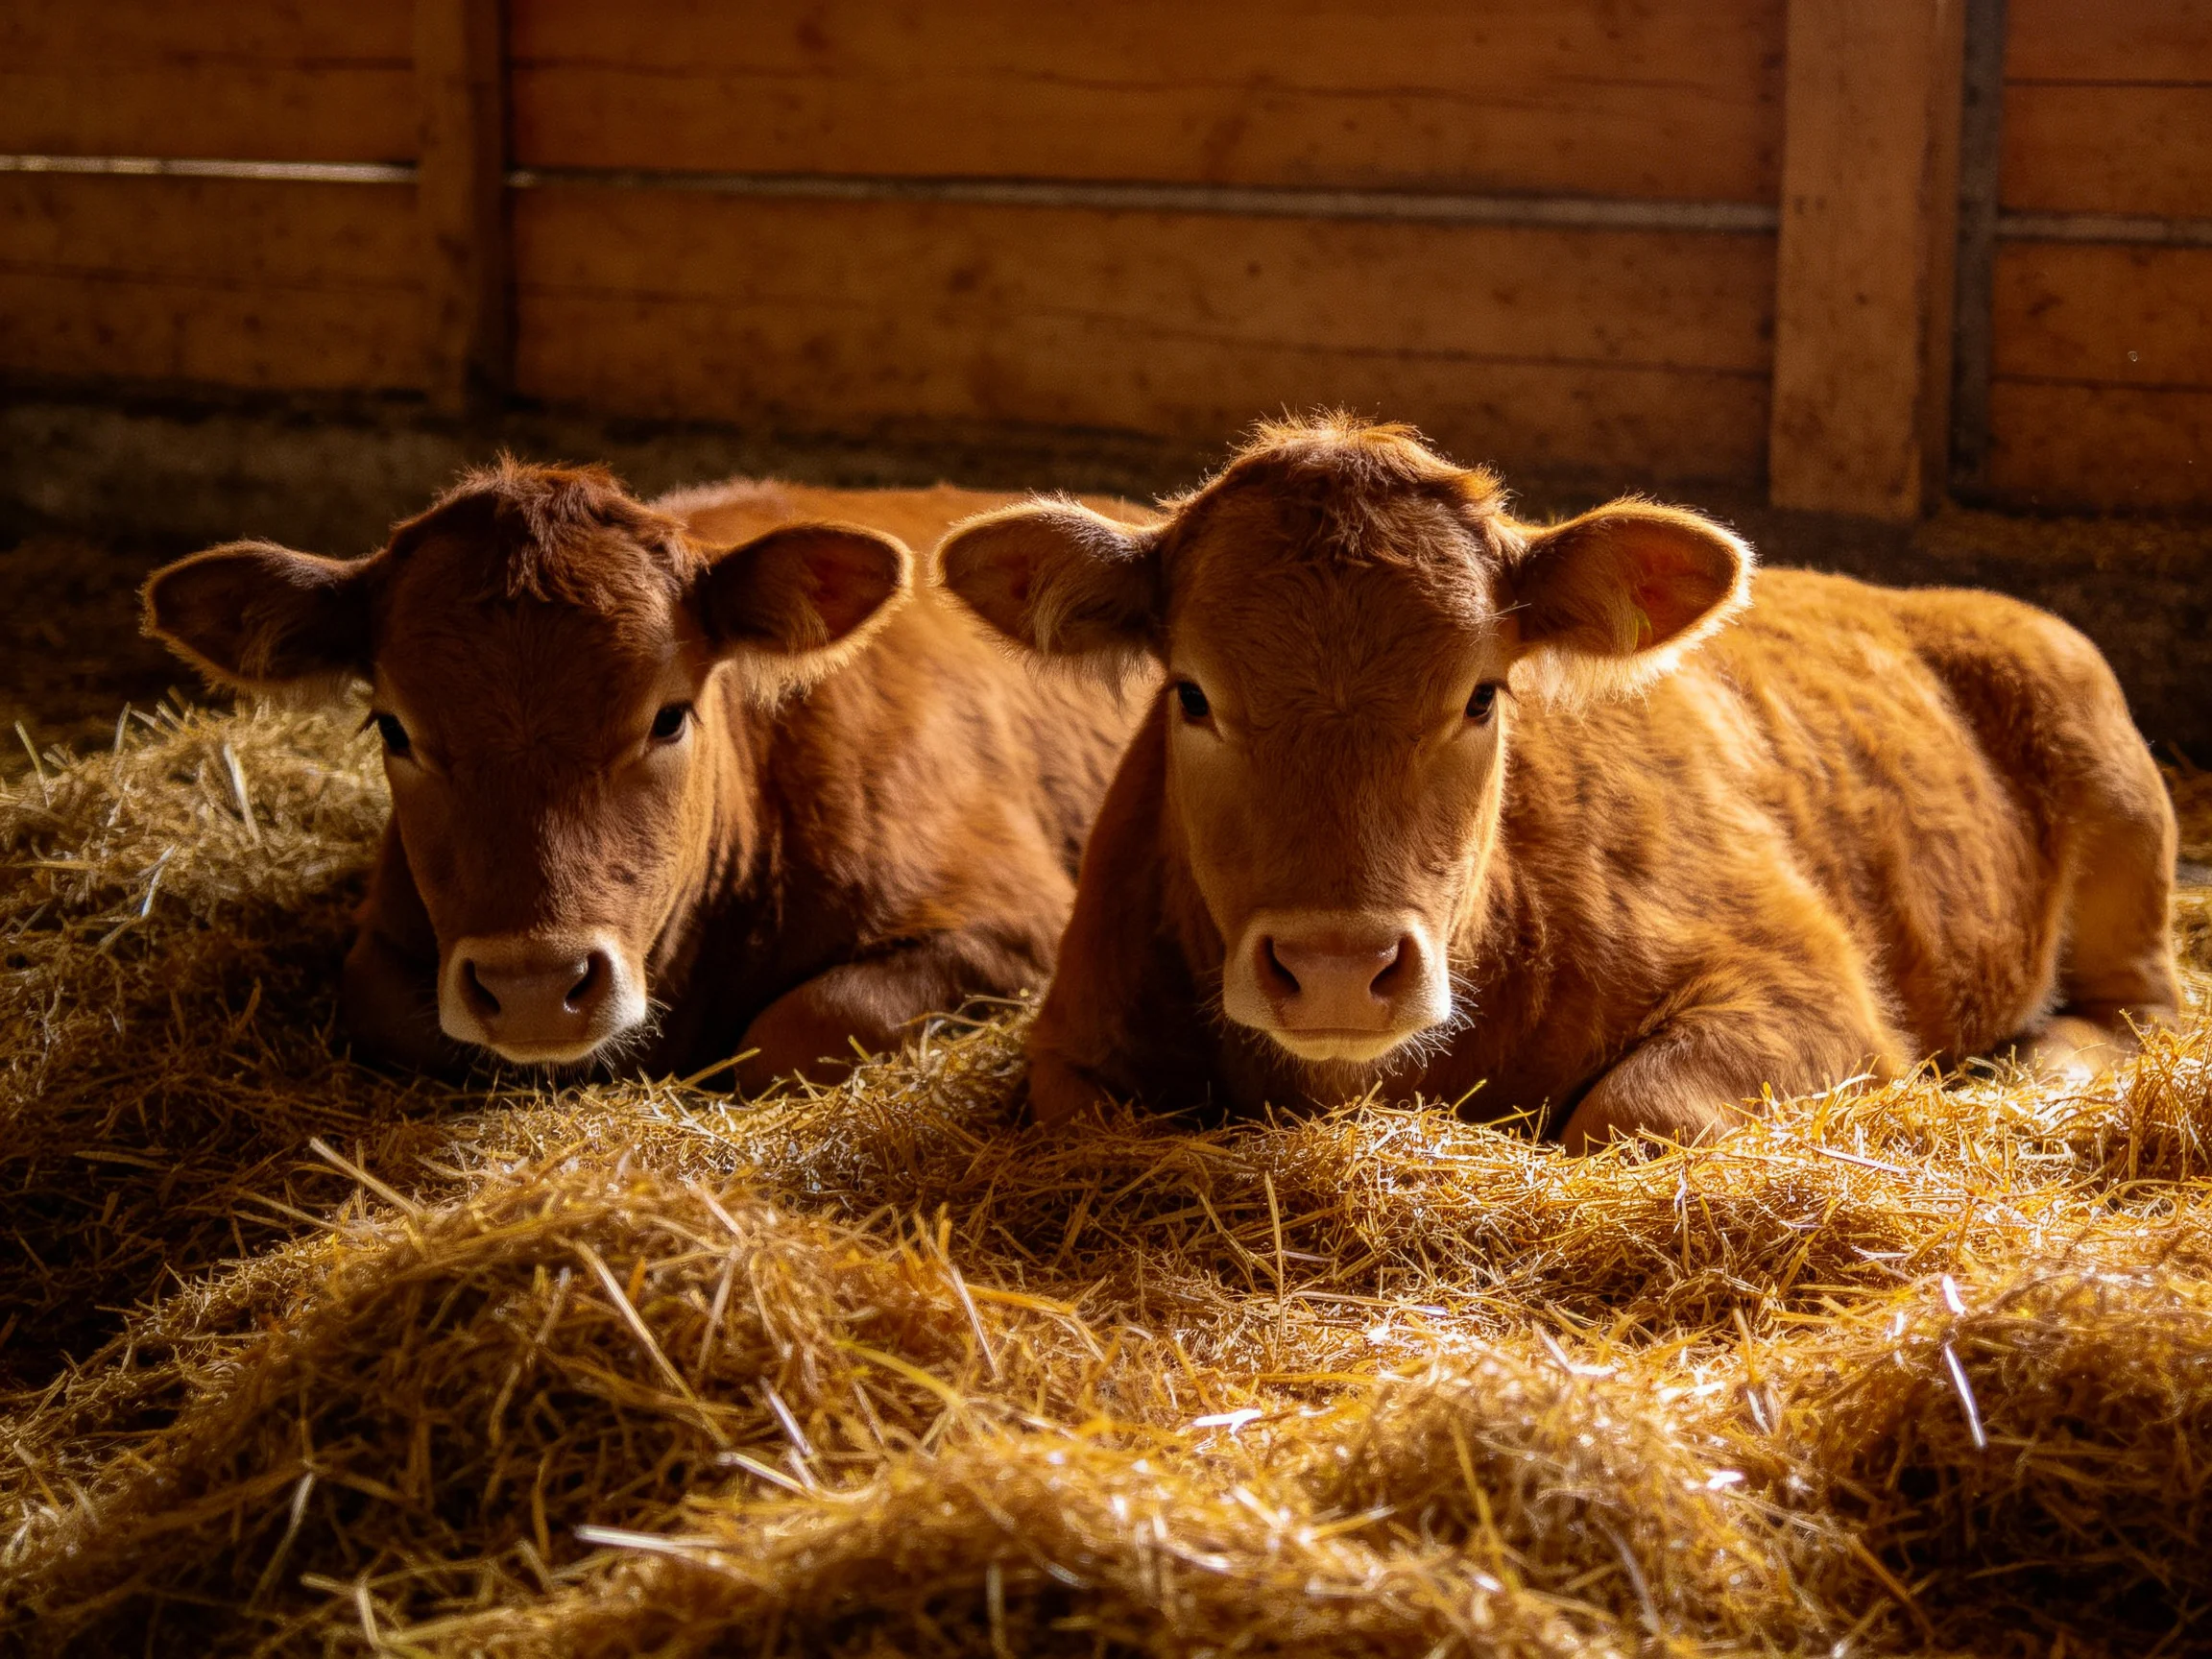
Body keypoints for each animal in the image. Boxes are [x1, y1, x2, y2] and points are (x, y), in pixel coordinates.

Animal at [143, 462, 1152, 1089]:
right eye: (394, 728)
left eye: (669, 715)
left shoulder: (1013, 921)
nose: (536, 987)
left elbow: (798, 1029)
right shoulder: (382, 953)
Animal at [938, 417, 2181, 1149]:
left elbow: (1631, 1110)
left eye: (1483, 696)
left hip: (2118, 808)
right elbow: (1090, 1125)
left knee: (2139, 1011)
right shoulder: (1071, 1039)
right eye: (1191, 694)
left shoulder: (1812, 995)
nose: (1339, 969)